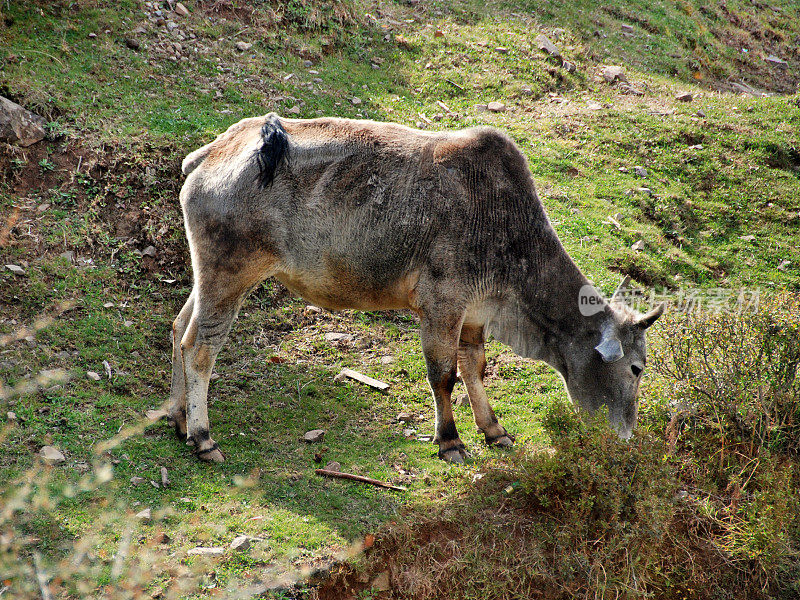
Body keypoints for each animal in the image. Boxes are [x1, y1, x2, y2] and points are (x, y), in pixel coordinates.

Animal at [169, 115, 664, 466]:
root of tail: (210, 153)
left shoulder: (475, 314)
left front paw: (494, 431)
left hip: (208, 278)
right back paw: (203, 437)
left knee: (178, 328)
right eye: (636, 368)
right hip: (229, 276)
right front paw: (450, 442)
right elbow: (443, 375)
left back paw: (178, 419)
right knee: (199, 347)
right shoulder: (442, 305)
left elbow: (474, 369)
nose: (627, 435)